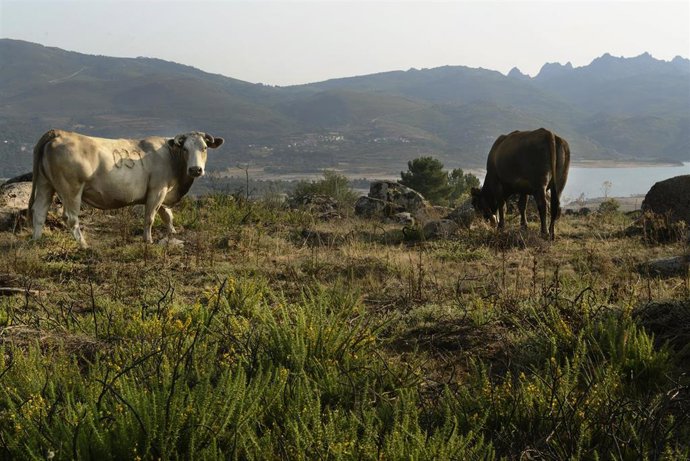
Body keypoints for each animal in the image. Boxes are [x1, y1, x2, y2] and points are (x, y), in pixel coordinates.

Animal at [28, 129, 224, 247]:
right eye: (185, 149)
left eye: (204, 148)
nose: (195, 169)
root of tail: (59, 133)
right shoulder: (157, 190)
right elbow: (150, 217)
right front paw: (148, 240)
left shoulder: (163, 192)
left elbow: (167, 215)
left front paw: (172, 233)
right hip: (71, 189)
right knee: (70, 217)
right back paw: (84, 245)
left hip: (45, 184)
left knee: (39, 212)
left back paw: (36, 240)